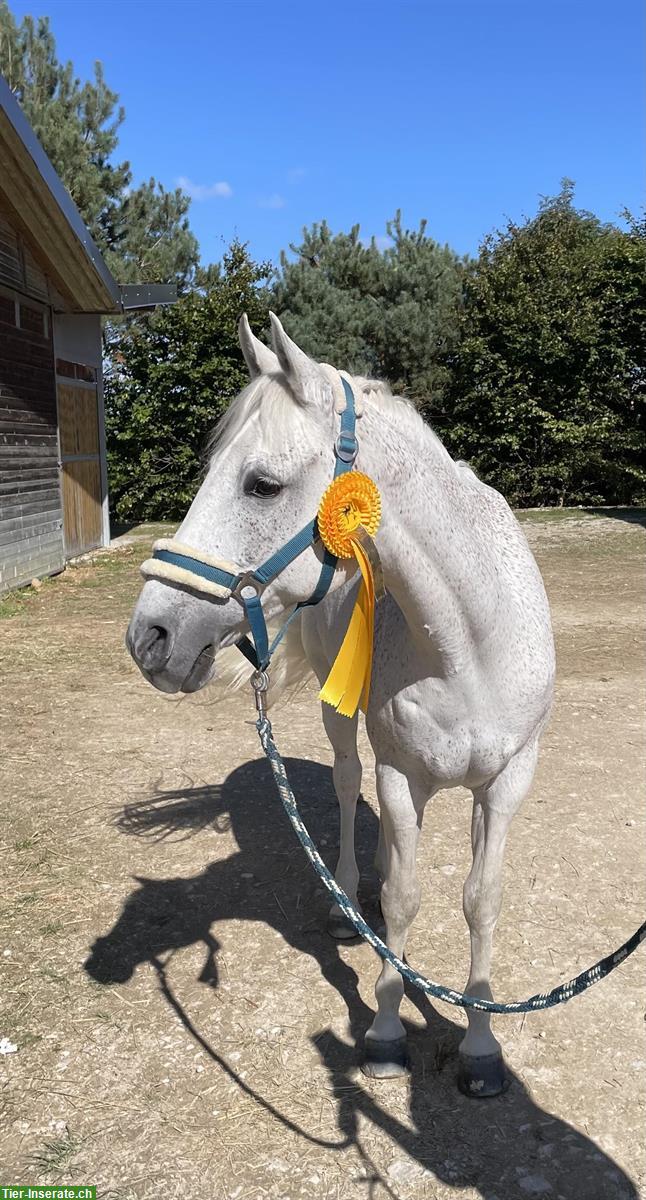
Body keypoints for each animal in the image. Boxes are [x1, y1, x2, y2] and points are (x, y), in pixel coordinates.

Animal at [126, 312, 552, 1099]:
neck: (471, 643)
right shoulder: (401, 774)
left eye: (262, 485)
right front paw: (385, 1035)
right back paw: (351, 905)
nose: (151, 638)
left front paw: (481, 1049)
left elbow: (481, 903)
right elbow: (408, 898)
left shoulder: (509, 782)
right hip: (344, 721)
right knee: (352, 786)